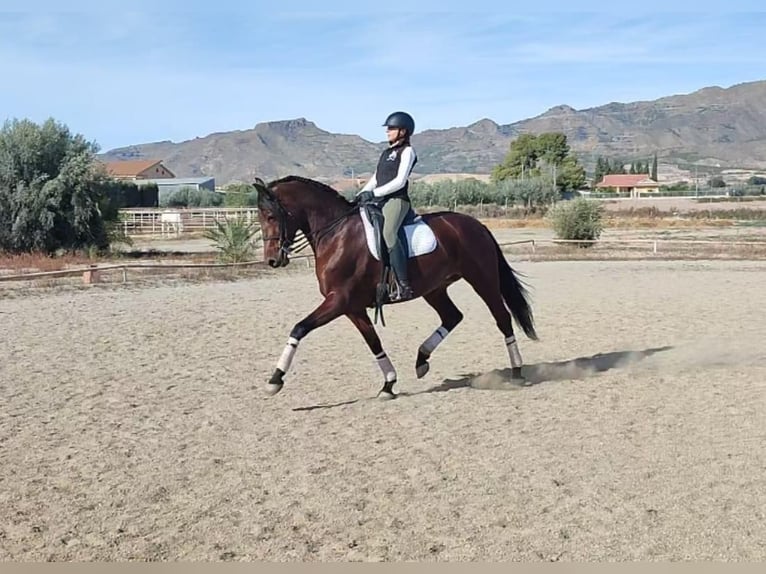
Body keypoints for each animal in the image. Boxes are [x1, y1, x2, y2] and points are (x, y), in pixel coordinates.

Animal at [254, 176, 540, 400]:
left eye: (271, 216)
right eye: (259, 217)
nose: (272, 260)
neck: (336, 234)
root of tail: (477, 224)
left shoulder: (338, 301)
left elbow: (299, 328)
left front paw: (275, 380)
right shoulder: (352, 307)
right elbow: (373, 341)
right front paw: (388, 384)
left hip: (483, 280)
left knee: (502, 318)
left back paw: (516, 372)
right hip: (435, 288)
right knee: (452, 316)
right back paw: (422, 360)